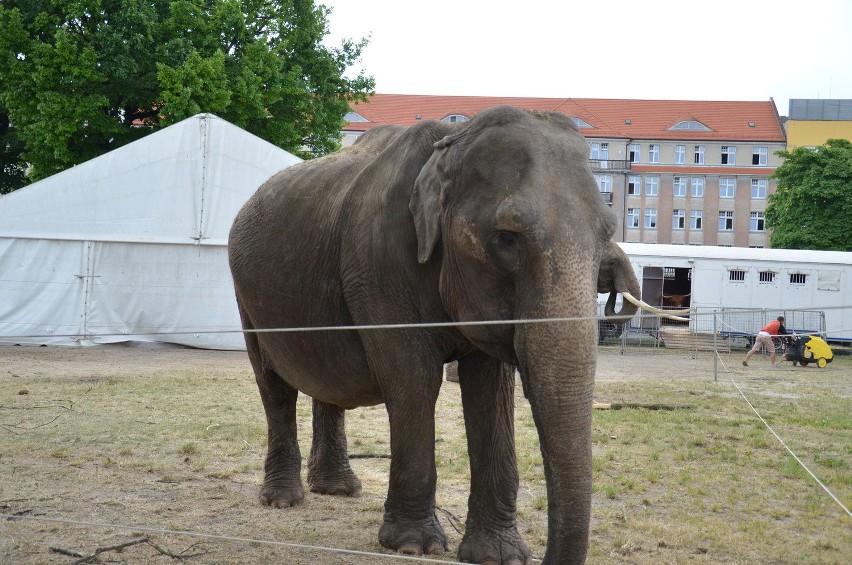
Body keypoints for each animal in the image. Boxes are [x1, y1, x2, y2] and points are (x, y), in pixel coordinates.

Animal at [226, 106, 640, 564]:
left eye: (607, 234)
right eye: (506, 237)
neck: (451, 141)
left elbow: (491, 390)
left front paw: (498, 556)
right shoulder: (378, 265)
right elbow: (414, 378)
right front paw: (413, 545)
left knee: (327, 380)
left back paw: (338, 489)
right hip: (246, 296)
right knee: (273, 385)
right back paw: (282, 499)